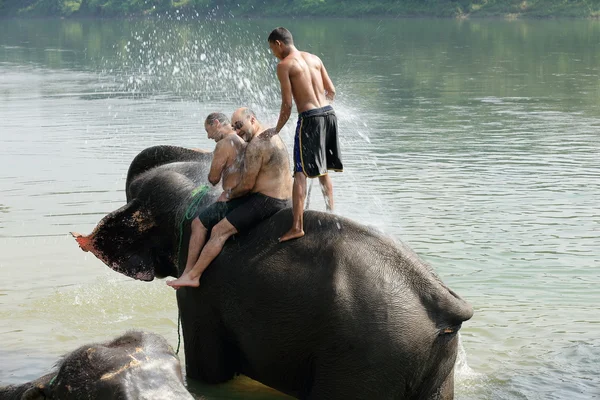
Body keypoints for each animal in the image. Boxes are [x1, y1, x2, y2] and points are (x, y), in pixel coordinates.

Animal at [71, 145, 474, 398]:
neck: (196, 189)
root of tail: (442, 302)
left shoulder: (199, 291)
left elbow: (210, 373)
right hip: (430, 363)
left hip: (369, 355)